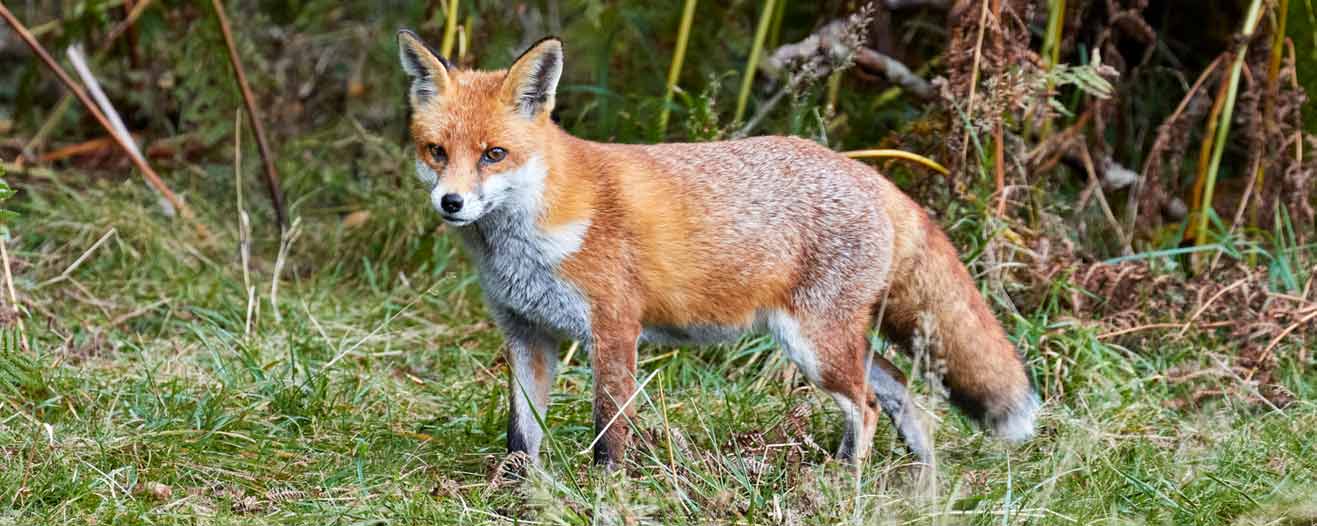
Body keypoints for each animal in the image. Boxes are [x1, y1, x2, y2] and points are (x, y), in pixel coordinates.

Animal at [397, 30, 1039, 468]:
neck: (523, 246)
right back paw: (918, 486)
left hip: (815, 347)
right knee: (902, 393)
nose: (451, 203)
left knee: (869, 405)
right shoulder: (528, 334)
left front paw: (603, 491)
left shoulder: (614, 330)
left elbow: (609, 431)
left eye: (493, 154)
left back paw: (842, 482)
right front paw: (516, 492)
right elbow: (521, 435)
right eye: (436, 151)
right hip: (832, 344)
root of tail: (874, 176)